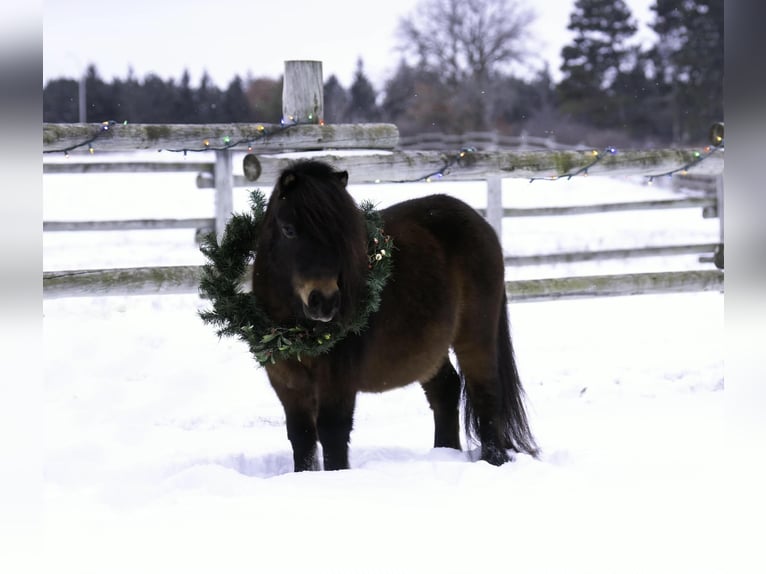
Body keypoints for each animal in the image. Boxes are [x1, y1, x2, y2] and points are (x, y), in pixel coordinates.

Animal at [251, 159, 538, 471]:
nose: (325, 303)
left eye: (341, 235)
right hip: (429, 349)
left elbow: (332, 432)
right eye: (288, 229)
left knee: (485, 393)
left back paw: (493, 460)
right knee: (446, 390)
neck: (295, 328)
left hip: (475, 336)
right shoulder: (286, 382)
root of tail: (480, 222)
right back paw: (444, 453)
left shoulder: (338, 380)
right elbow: (302, 435)